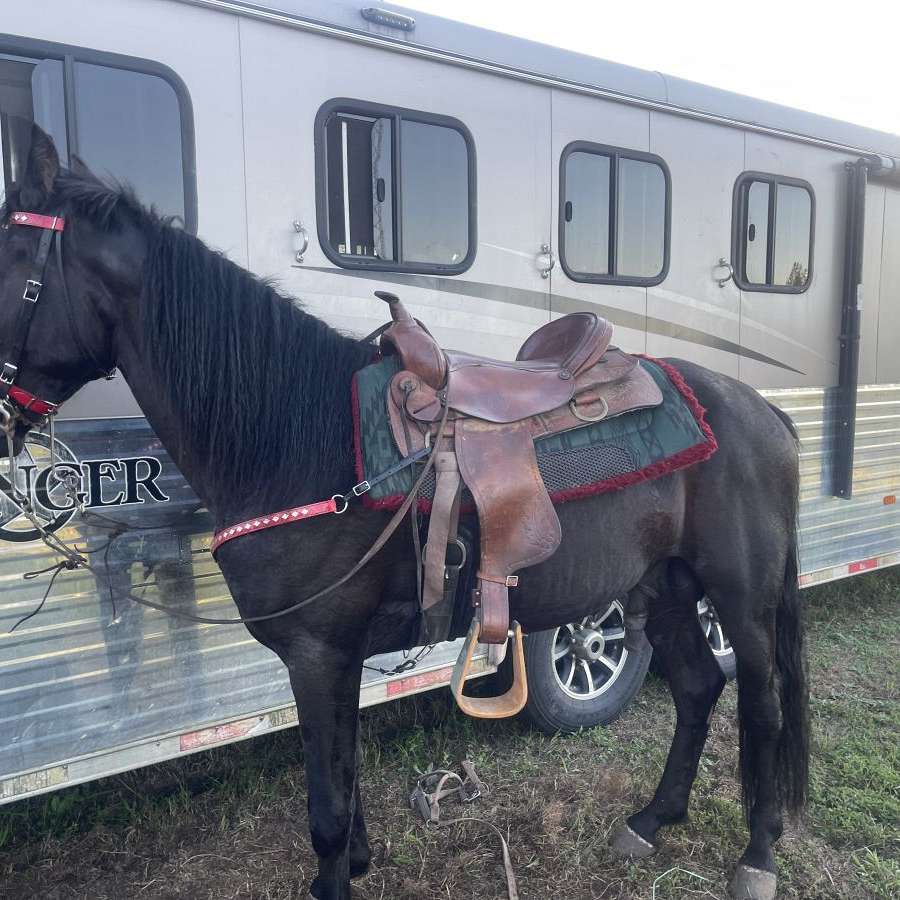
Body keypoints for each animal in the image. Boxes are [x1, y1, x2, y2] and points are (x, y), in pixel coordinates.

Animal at [0, 127, 807, 900]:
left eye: (10, 255)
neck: (300, 440)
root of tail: (761, 411)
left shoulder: (319, 652)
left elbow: (326, 807)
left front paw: (335, 881)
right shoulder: (334, 658)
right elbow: (344, 781)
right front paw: (355, 864)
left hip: (740, 596)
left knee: (763, 707)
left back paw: (758, 856)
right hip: (662, 587)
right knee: (699, 689)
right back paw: (650, 820)